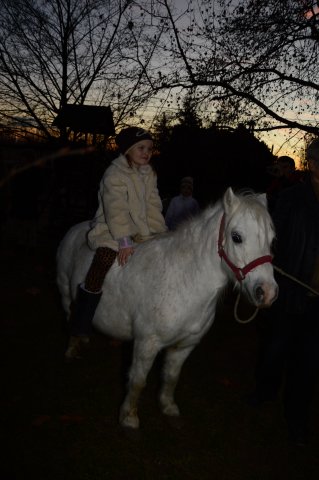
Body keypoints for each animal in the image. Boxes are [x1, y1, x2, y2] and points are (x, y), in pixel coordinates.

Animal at [57, 187, 278, 428]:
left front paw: (167, 406)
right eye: (237, 237)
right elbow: (138, 380)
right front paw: (129, 417)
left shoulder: (184, 346)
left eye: (271, 239)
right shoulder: (147, 344)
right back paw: (72, 347)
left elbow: (171, 378)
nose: (267, 292)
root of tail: (77, 228)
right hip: (66, 291)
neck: (184, 280)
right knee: (70, 315)